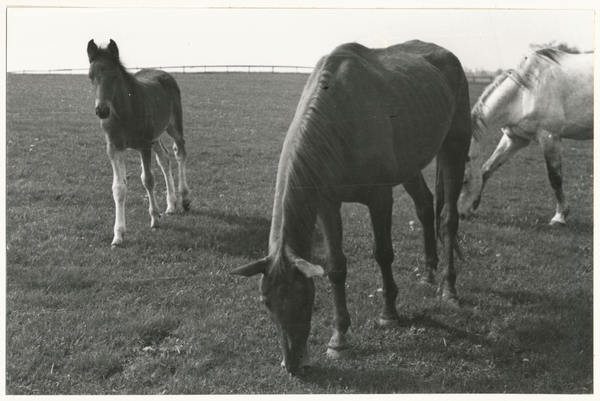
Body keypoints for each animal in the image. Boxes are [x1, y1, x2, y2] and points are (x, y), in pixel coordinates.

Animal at [85, 39, 190, 245]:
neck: (124, 112)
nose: (102, 111)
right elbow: (118, 187)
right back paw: (171, 205)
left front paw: (155, 218)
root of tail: (164, 73)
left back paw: (184, 198)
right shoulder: (114, 148)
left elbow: (148, 180)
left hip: (172, 123)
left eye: (114, 75)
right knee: (164, 158)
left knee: (179, 149)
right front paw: (118, 235)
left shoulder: (143, 145)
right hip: (155, 136)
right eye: (90, 76)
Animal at [232, 40, 472, 376]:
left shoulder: (380, 198)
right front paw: (339, 339)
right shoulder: (327, 203)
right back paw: (428, 273)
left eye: (305, 299)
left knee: (448, 218)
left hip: (454, 147)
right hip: (410, 163)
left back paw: (449, 290)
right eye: (266, 303)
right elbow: (336, 267)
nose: (292, 364)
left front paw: (389, 313)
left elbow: (383, 254)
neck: (341, 116)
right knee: (425, 207)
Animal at [458, 47, 592, 225]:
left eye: (465, 180)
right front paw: (474, 207)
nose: (460, 215)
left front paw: (560, 217)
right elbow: (487, 168)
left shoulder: (549, 136)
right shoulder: (515, 139)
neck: (525, 92)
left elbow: (555, 177)